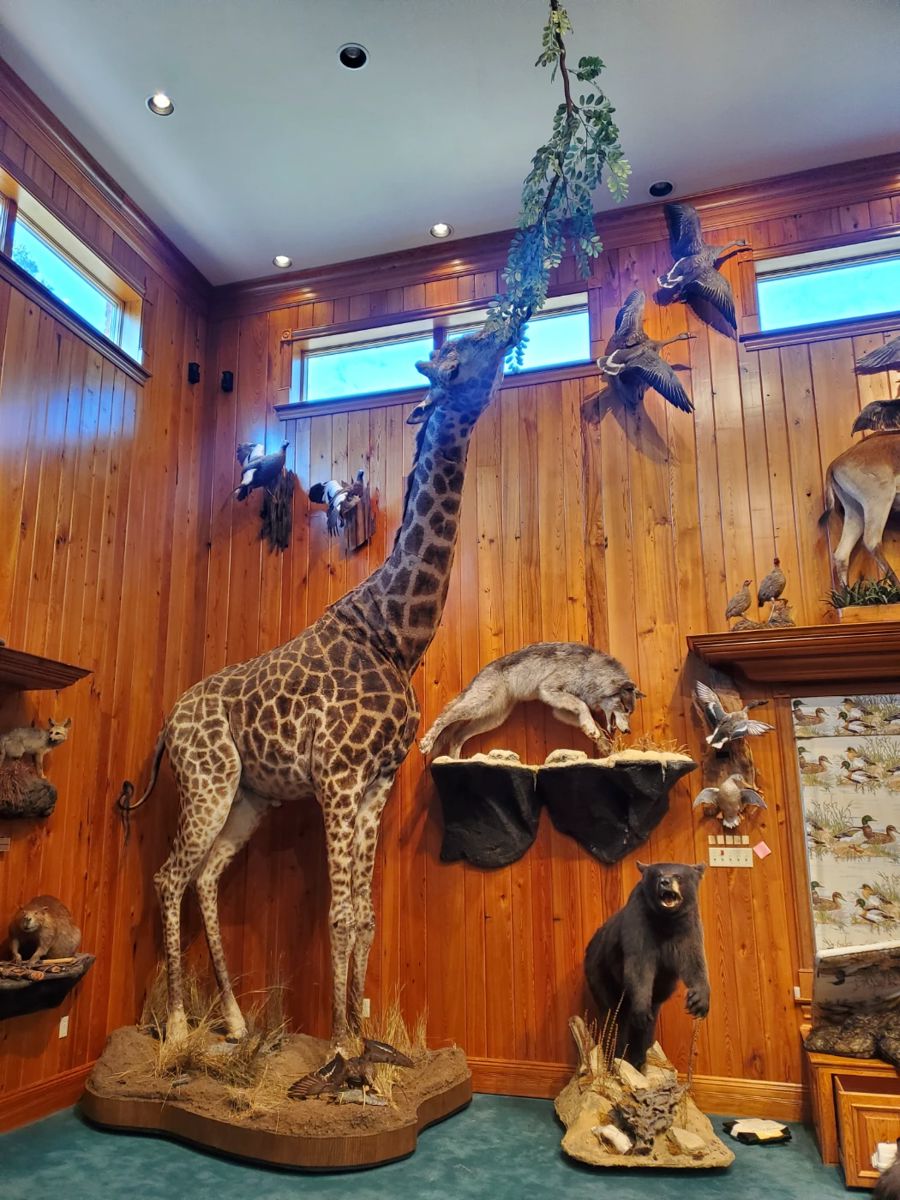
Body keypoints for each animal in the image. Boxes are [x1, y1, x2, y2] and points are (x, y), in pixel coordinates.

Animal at [120, 330, 506, 1043]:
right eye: (456, 356)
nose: (504, 333)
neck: (395, 634)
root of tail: (165, 728)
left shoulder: (378, 781)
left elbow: (365, 913)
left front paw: (364, 1036)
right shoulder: (338, 776)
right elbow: (339, 913)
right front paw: (338, 1048)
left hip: (249, 798)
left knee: (204, 877)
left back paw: (237, 1022)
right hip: (209, 783)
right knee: (167, 876)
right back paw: (182, 1027)